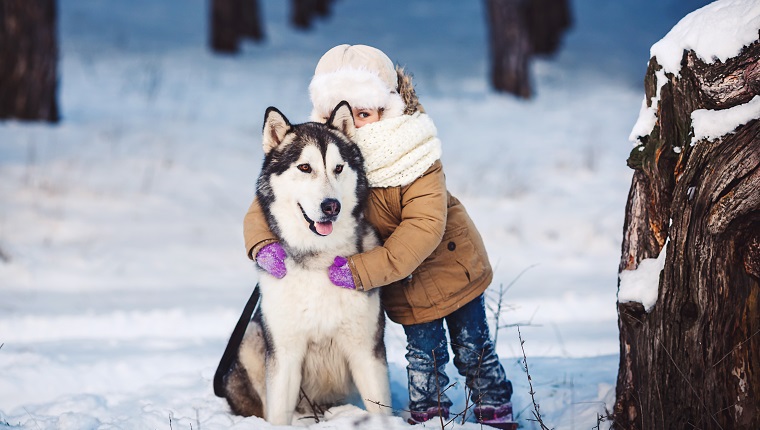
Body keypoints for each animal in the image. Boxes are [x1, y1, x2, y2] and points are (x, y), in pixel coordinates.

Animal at [215, 101, 388, 426]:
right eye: (305, 167)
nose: (331, 206)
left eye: (338, 168)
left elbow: (381, 409)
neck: (318, 259)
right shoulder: (284, 353)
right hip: (251, 337)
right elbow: (278, 413)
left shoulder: (366, 349)